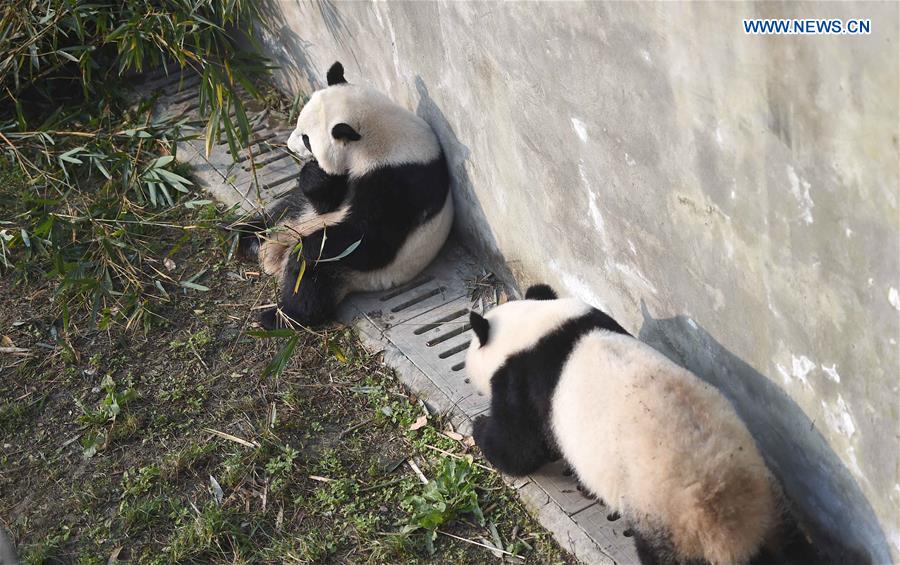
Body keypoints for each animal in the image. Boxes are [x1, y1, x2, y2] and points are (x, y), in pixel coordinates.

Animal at [236, 61, 454, 326]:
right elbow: (326, 200)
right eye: (298, 125)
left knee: (311, 280)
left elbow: (370, 239)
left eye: (307, 140)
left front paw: (309, 248)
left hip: (353, 272)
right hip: (299, 218)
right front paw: (314, 175)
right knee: (283, 211)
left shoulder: (401, 181)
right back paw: (244, 238)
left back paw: (281, 314)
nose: (289, 146)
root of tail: (276, 254)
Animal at [464, 284, 788, 564]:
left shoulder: (525, 383)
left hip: (664, 514)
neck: (538, 327)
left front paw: (479, 427)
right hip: (770, 505)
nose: (468, 376)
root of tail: (732, 528)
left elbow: (519, 448)